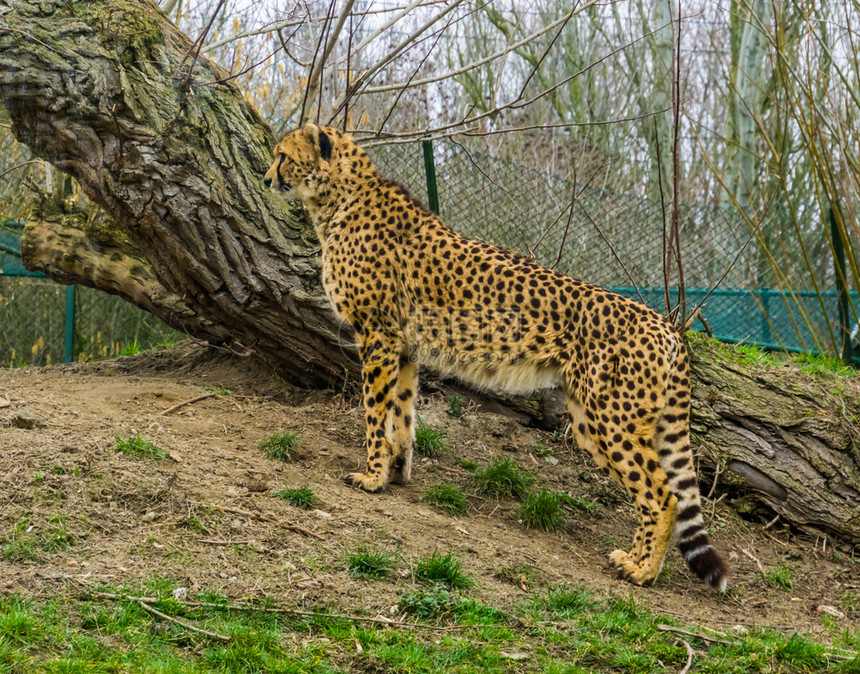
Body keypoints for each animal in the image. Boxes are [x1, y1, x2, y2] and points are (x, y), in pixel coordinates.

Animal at [266, 122, 728, 588]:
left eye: (282, 155)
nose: (267, 179)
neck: (338, 197)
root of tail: (665, 325)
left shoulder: (378, 334)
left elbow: (376, 413)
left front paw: (372, 476)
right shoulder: (405, 346)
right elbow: (403, 413)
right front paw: (396, 470)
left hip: (610, 418)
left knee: (662, 494)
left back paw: (641, 570)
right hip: (594, 416)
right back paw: (635, 559)